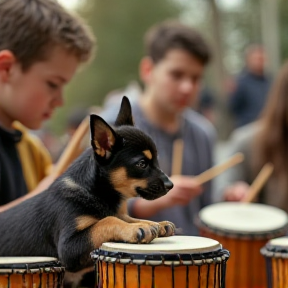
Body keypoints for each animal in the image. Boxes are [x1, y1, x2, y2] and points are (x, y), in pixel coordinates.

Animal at [0, 95, 176, 274]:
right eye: (142, 164)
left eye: (156, 160)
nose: (171, 185)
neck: (95, 192)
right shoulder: (68, 247)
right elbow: (107, 221)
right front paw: (137, 228)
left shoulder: (117, 213)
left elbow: (125, 218)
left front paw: (155, 224)